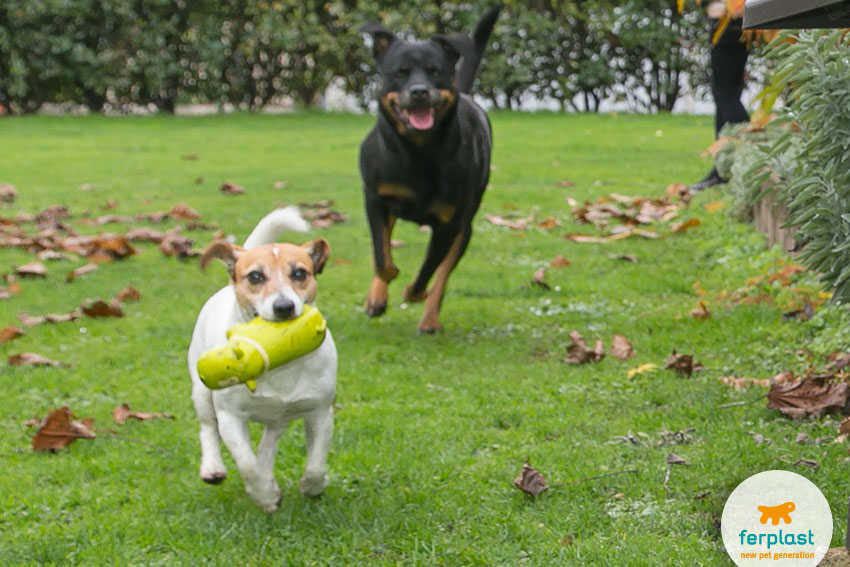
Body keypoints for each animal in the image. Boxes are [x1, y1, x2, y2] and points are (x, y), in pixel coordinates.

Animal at [187, 209, 336, 516]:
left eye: (300, 273)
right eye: (255, 276)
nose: (284, 307)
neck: (280, 359)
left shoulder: (320, 411)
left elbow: (316, 462)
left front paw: (312, 486)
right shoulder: (230, 416)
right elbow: (246, 464)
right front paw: (265, 495)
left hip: (278, 418)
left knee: (268, 444)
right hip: (201, 392)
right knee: (208, 429)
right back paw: (213, 468)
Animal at [360, 6, 504, 336]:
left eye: (435, 71)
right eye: (399, 72)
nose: (419, 91)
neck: (419, 152)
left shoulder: (449, 224)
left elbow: (428, 270)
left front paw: (415, 292)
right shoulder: (375, 198)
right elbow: (381, 256)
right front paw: (382, 287)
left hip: (465, 228)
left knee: (442, 275)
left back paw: (429, 319)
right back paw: (377, 297)